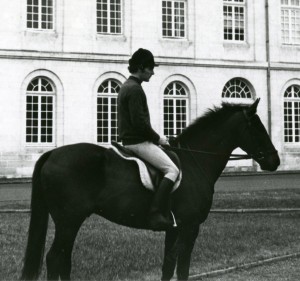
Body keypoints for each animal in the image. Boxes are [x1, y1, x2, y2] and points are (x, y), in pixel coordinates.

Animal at [21, 99, 282, 280]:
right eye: (257, 128)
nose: (275, 161)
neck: (195, 161)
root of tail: (52, 153)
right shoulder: (190, 227)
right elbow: (182, 268)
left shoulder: (174, 229)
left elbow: (168, 266)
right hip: (69, 220)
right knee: (55, 259)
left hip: (70, 222)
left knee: (63, 260)